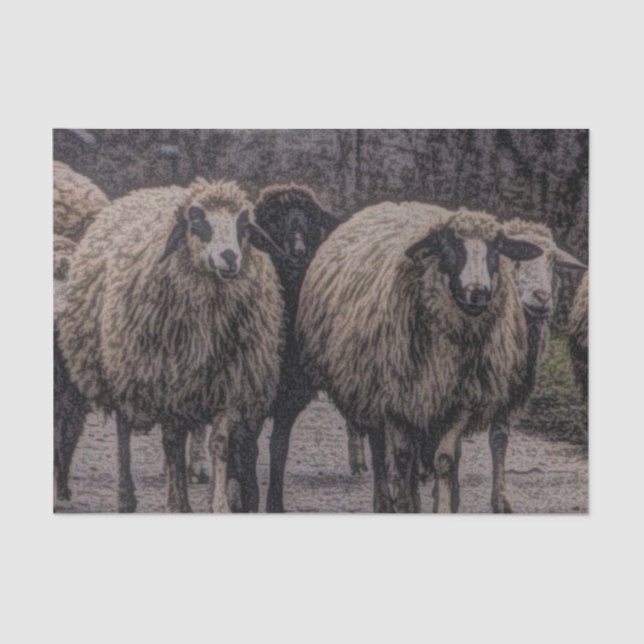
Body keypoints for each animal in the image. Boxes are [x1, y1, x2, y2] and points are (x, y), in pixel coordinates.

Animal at [57, 178, 284, 512]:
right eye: (197, 220)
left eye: (243, 223)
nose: (230, 256)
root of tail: (149, 190)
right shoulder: (165, 384)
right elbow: (172, 444)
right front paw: (177, 504)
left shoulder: (229, 383)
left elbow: (218, 443)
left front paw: (219, 504)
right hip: (122, 371)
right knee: (124, 432)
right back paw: (126, 496)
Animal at [247, 184, 339, 511]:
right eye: (275, 218)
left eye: (309, 217)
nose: (298, 251)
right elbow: (248, 449)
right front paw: (246, 499)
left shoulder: (290, 397)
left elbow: (279, 449)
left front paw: (275, 504)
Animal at [296, 202, 543, 512]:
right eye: (448, 245)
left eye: (497, 248)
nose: (478, 293)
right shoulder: (394, 400)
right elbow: (401, 458)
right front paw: (402, 504)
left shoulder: (459, 400)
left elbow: (444, 460)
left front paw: (442, 506)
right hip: (371, 389)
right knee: (380, 448)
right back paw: (384, 501)